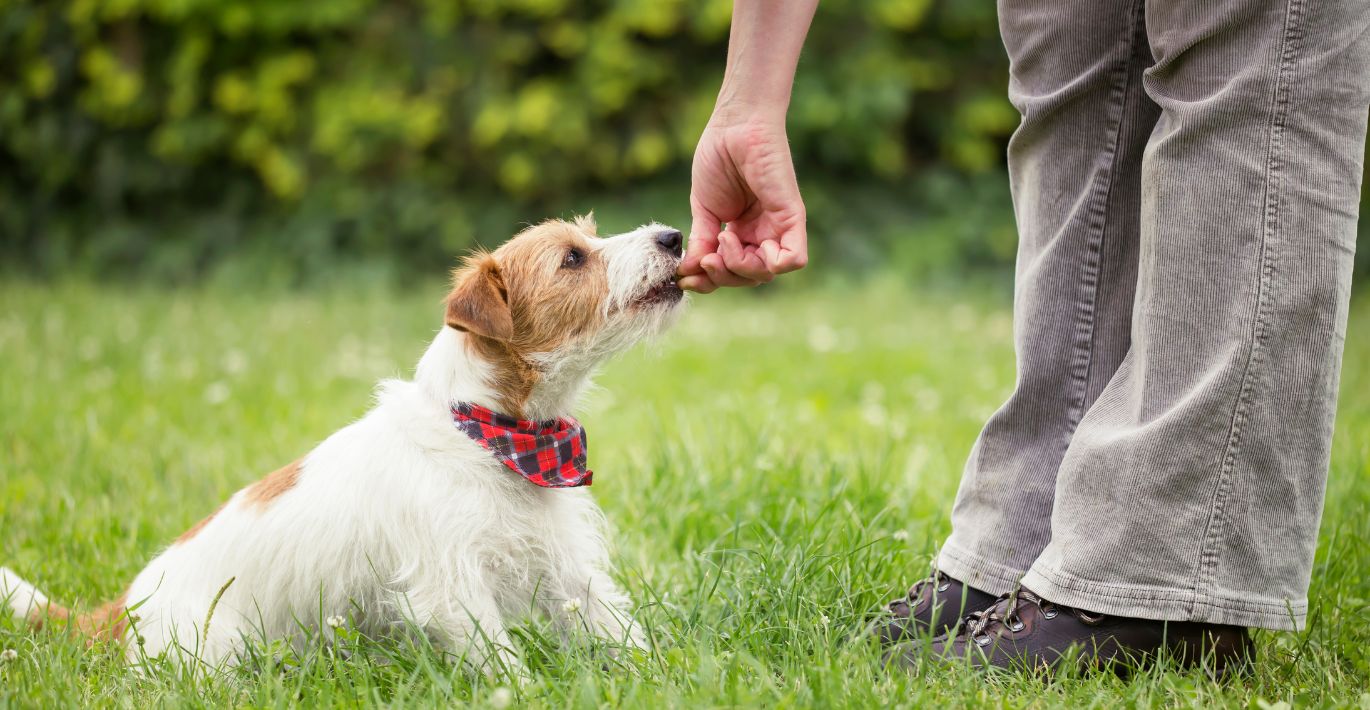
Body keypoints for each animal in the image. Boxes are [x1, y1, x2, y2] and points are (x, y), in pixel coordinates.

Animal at [0, 215, 685, 674]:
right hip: (213, 651)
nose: (674, 236)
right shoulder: (452, 586)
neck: (493, 434)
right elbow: (500, 662)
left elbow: (615, 625)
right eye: (572, 259)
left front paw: (665, 674)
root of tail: (122, 610)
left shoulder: (567, 565)